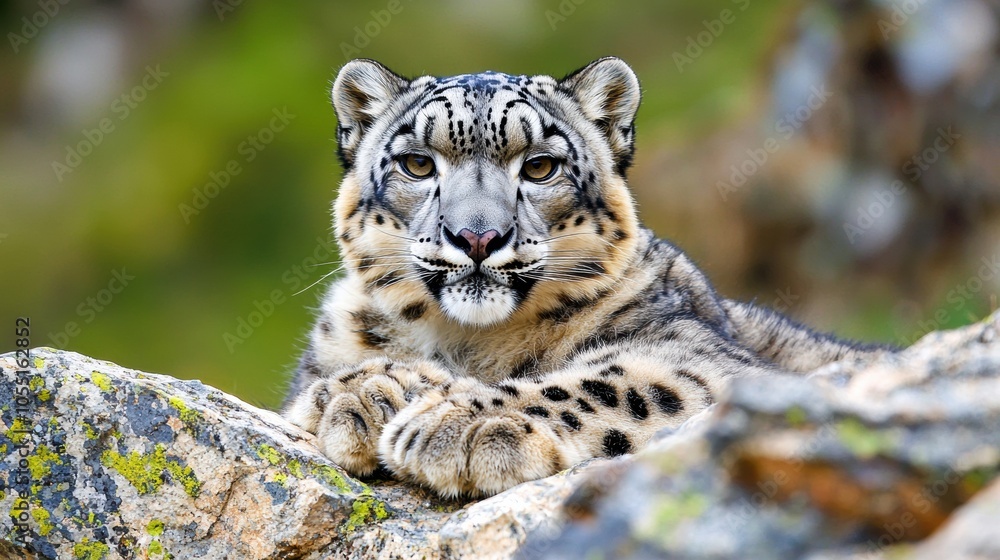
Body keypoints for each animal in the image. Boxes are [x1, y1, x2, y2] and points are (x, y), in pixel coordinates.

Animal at [282, 57, 894, 498]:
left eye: (539, 166)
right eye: (416, 164)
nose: (477, 236)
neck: (470, 343)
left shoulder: (694, 355)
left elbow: (609, 382)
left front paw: (461, 422)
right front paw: (365, 391)